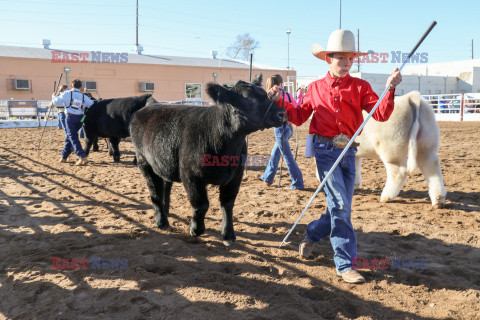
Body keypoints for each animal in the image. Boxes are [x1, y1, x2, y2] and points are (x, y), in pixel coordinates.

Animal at [129, 77, 284, 245]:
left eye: (267, 95)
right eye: (248, 98)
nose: (282, 113)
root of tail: (151, 106)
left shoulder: (236, 175)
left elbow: (228, 204)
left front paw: (228, 234)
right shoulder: (190, 175)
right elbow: (201, 204)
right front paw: (196, 229)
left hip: (163, 162)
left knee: (166, 186)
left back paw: (166, 211)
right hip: (144, 162)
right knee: (155, 193)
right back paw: (162, 222)